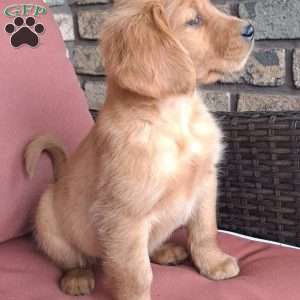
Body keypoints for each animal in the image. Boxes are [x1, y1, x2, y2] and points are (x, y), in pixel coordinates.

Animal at [25, 1, 253, 298]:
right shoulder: (124, 217)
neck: (175, 120)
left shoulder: (205, 183)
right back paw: (77, 277)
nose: (251, 29)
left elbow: (205, 230)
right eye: (193, 21)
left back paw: (165, 251)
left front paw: (213, 263)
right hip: (47, 218)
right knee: (73, 259)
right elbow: (135, 274)